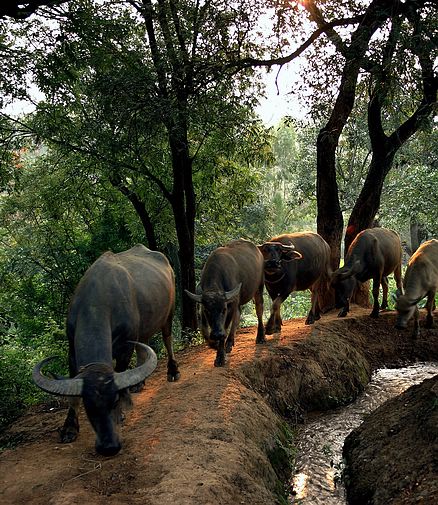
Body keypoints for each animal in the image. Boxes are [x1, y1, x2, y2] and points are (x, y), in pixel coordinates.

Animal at [32, 244, 180, 456]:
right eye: (89, 406)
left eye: (115, 401)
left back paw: (173, 371)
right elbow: (72, 398)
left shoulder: (125, 346)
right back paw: (139, 384)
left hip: (169, 313)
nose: (109, 447)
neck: (98, 302)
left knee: (167, 339)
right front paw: (69, 428)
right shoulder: (72, 350)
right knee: (144, 347)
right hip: (144, 327)